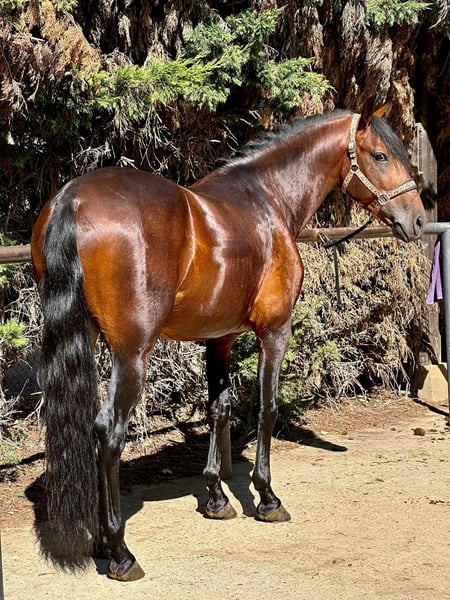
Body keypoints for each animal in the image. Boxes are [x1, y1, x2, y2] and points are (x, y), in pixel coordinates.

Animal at [31, 107, 426, 581]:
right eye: (381, 155)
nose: (418, 220)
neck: (269, 199)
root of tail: (72, 199)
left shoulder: (218, 339)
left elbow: (218, 409)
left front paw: (217, 498)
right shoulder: (275, 331)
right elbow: (267, 408)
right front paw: (268, 498)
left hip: (85, 341)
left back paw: (100, 543)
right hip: (132, 354)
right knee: (109, 432)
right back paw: (121, 552)